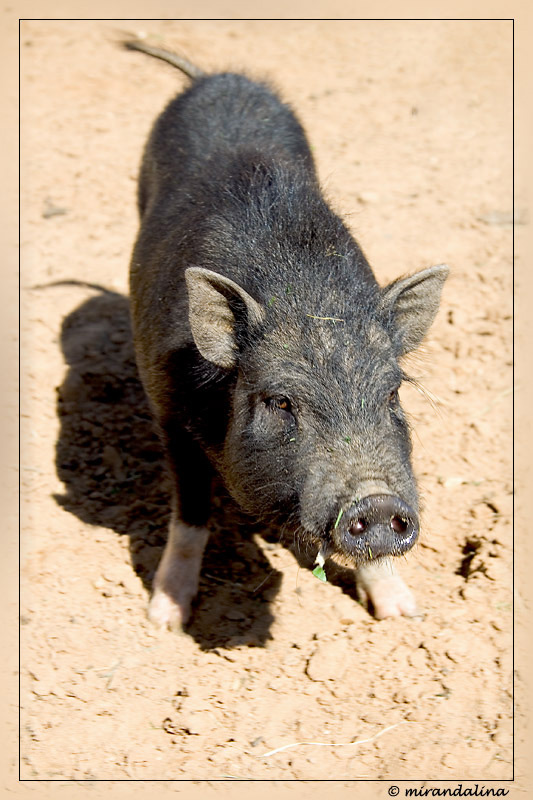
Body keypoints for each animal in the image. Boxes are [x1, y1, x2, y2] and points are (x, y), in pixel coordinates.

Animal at [124, 39, 449, 631]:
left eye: (392, 394)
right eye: (279, 401)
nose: (377, 502)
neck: (307, 300)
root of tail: (216, 75)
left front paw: (402, 613)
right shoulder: (169, 414)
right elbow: (190, 515)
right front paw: (166, 619)